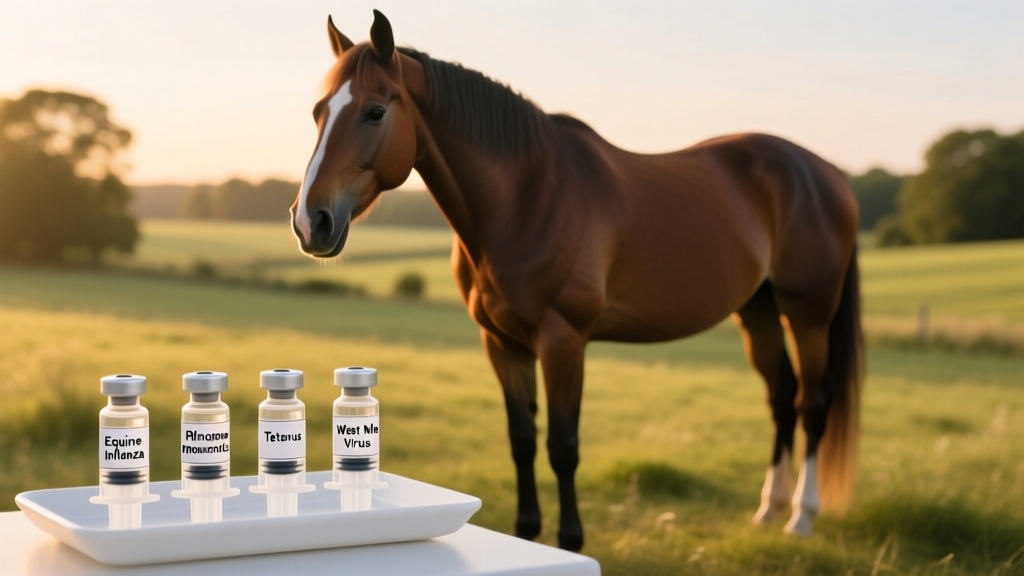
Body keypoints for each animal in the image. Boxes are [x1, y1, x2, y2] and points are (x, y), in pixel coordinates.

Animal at [291, 11, 863, 552]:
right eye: (319, 112)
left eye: (375, 111)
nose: (309, 222)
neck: (525, 196)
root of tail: (826, 174)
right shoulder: (502, 344)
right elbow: (521, 439)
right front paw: (526, 534)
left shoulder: (564, 341)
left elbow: (562, 448)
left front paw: (571, 540)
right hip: (758, 310)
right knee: (782, 396)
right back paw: (768, 509)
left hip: (808, 314)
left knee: (812, 403)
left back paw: (800, 518)